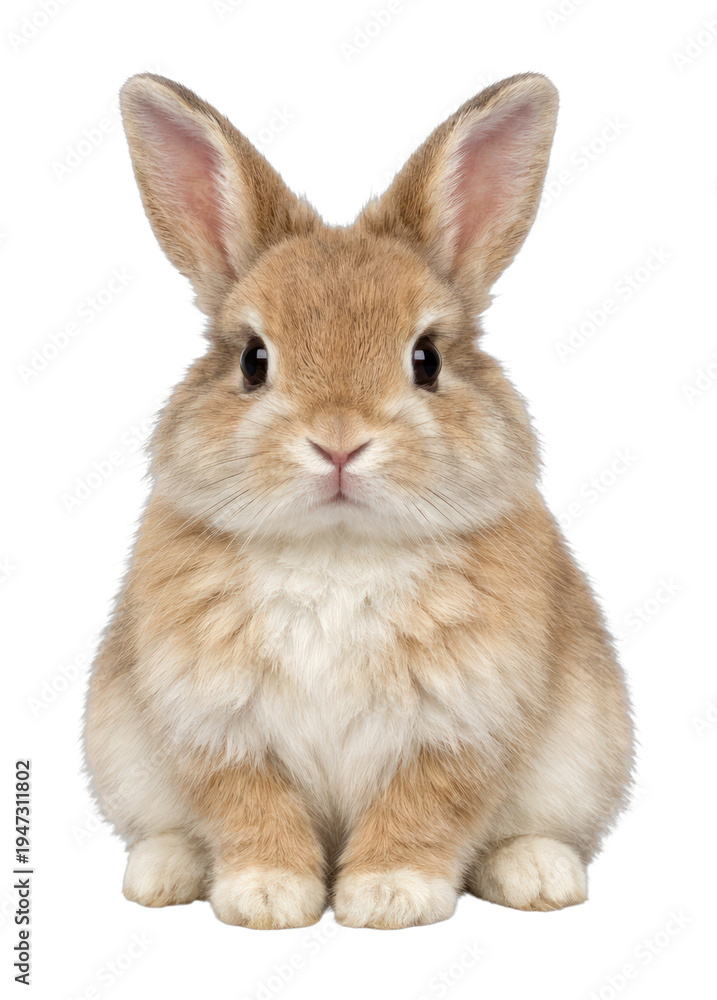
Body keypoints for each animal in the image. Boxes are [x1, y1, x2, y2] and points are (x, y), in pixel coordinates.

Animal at [83, 71, 634, 930]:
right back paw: (163, 874)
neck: (336, 550)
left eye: (425, 358)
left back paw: (539, 878)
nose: (338, 443)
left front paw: (386, 897)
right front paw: (267, 897)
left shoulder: (457, 727)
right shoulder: (218, 728)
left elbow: (422, 809)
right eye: (253, 359)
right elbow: (251, 809)